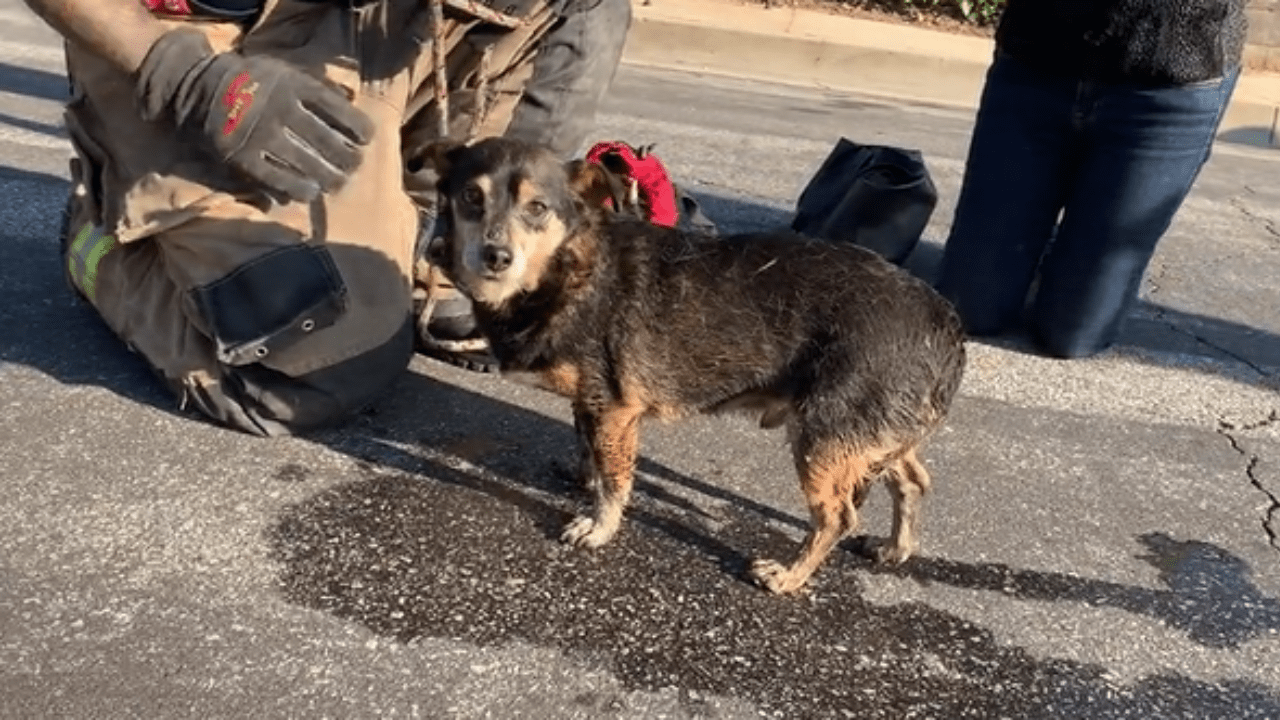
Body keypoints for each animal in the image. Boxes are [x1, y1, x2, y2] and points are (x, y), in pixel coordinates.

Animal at [424, 137, 962, 591]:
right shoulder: (591, 402)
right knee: (913, 481)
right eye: (471, 196)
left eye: (537, 207)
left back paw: (789, 576)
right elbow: (590, 453)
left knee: (837, 517)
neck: (569, 265)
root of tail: (946, 321)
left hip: (824, 440)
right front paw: (583, 478)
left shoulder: (615, 410)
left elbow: (616, 481)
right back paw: (895, 548)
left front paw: (598, 528)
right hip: (871, 436)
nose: (495, 255)